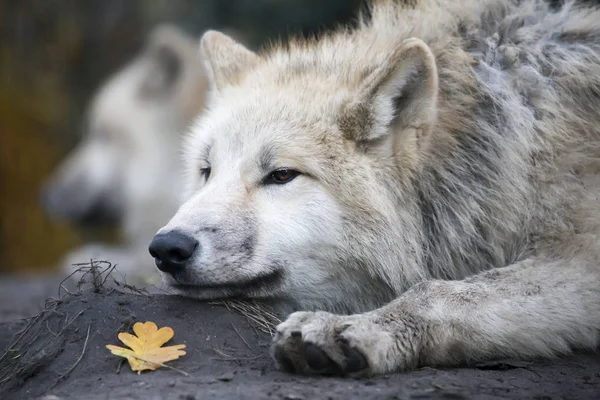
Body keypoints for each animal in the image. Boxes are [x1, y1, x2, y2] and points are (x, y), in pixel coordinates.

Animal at [149, 0, 600, 376]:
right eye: (207, 171)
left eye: (281, 175)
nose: (166, 248)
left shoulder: (578, 260)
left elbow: (436, 291)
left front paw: (354, 329)